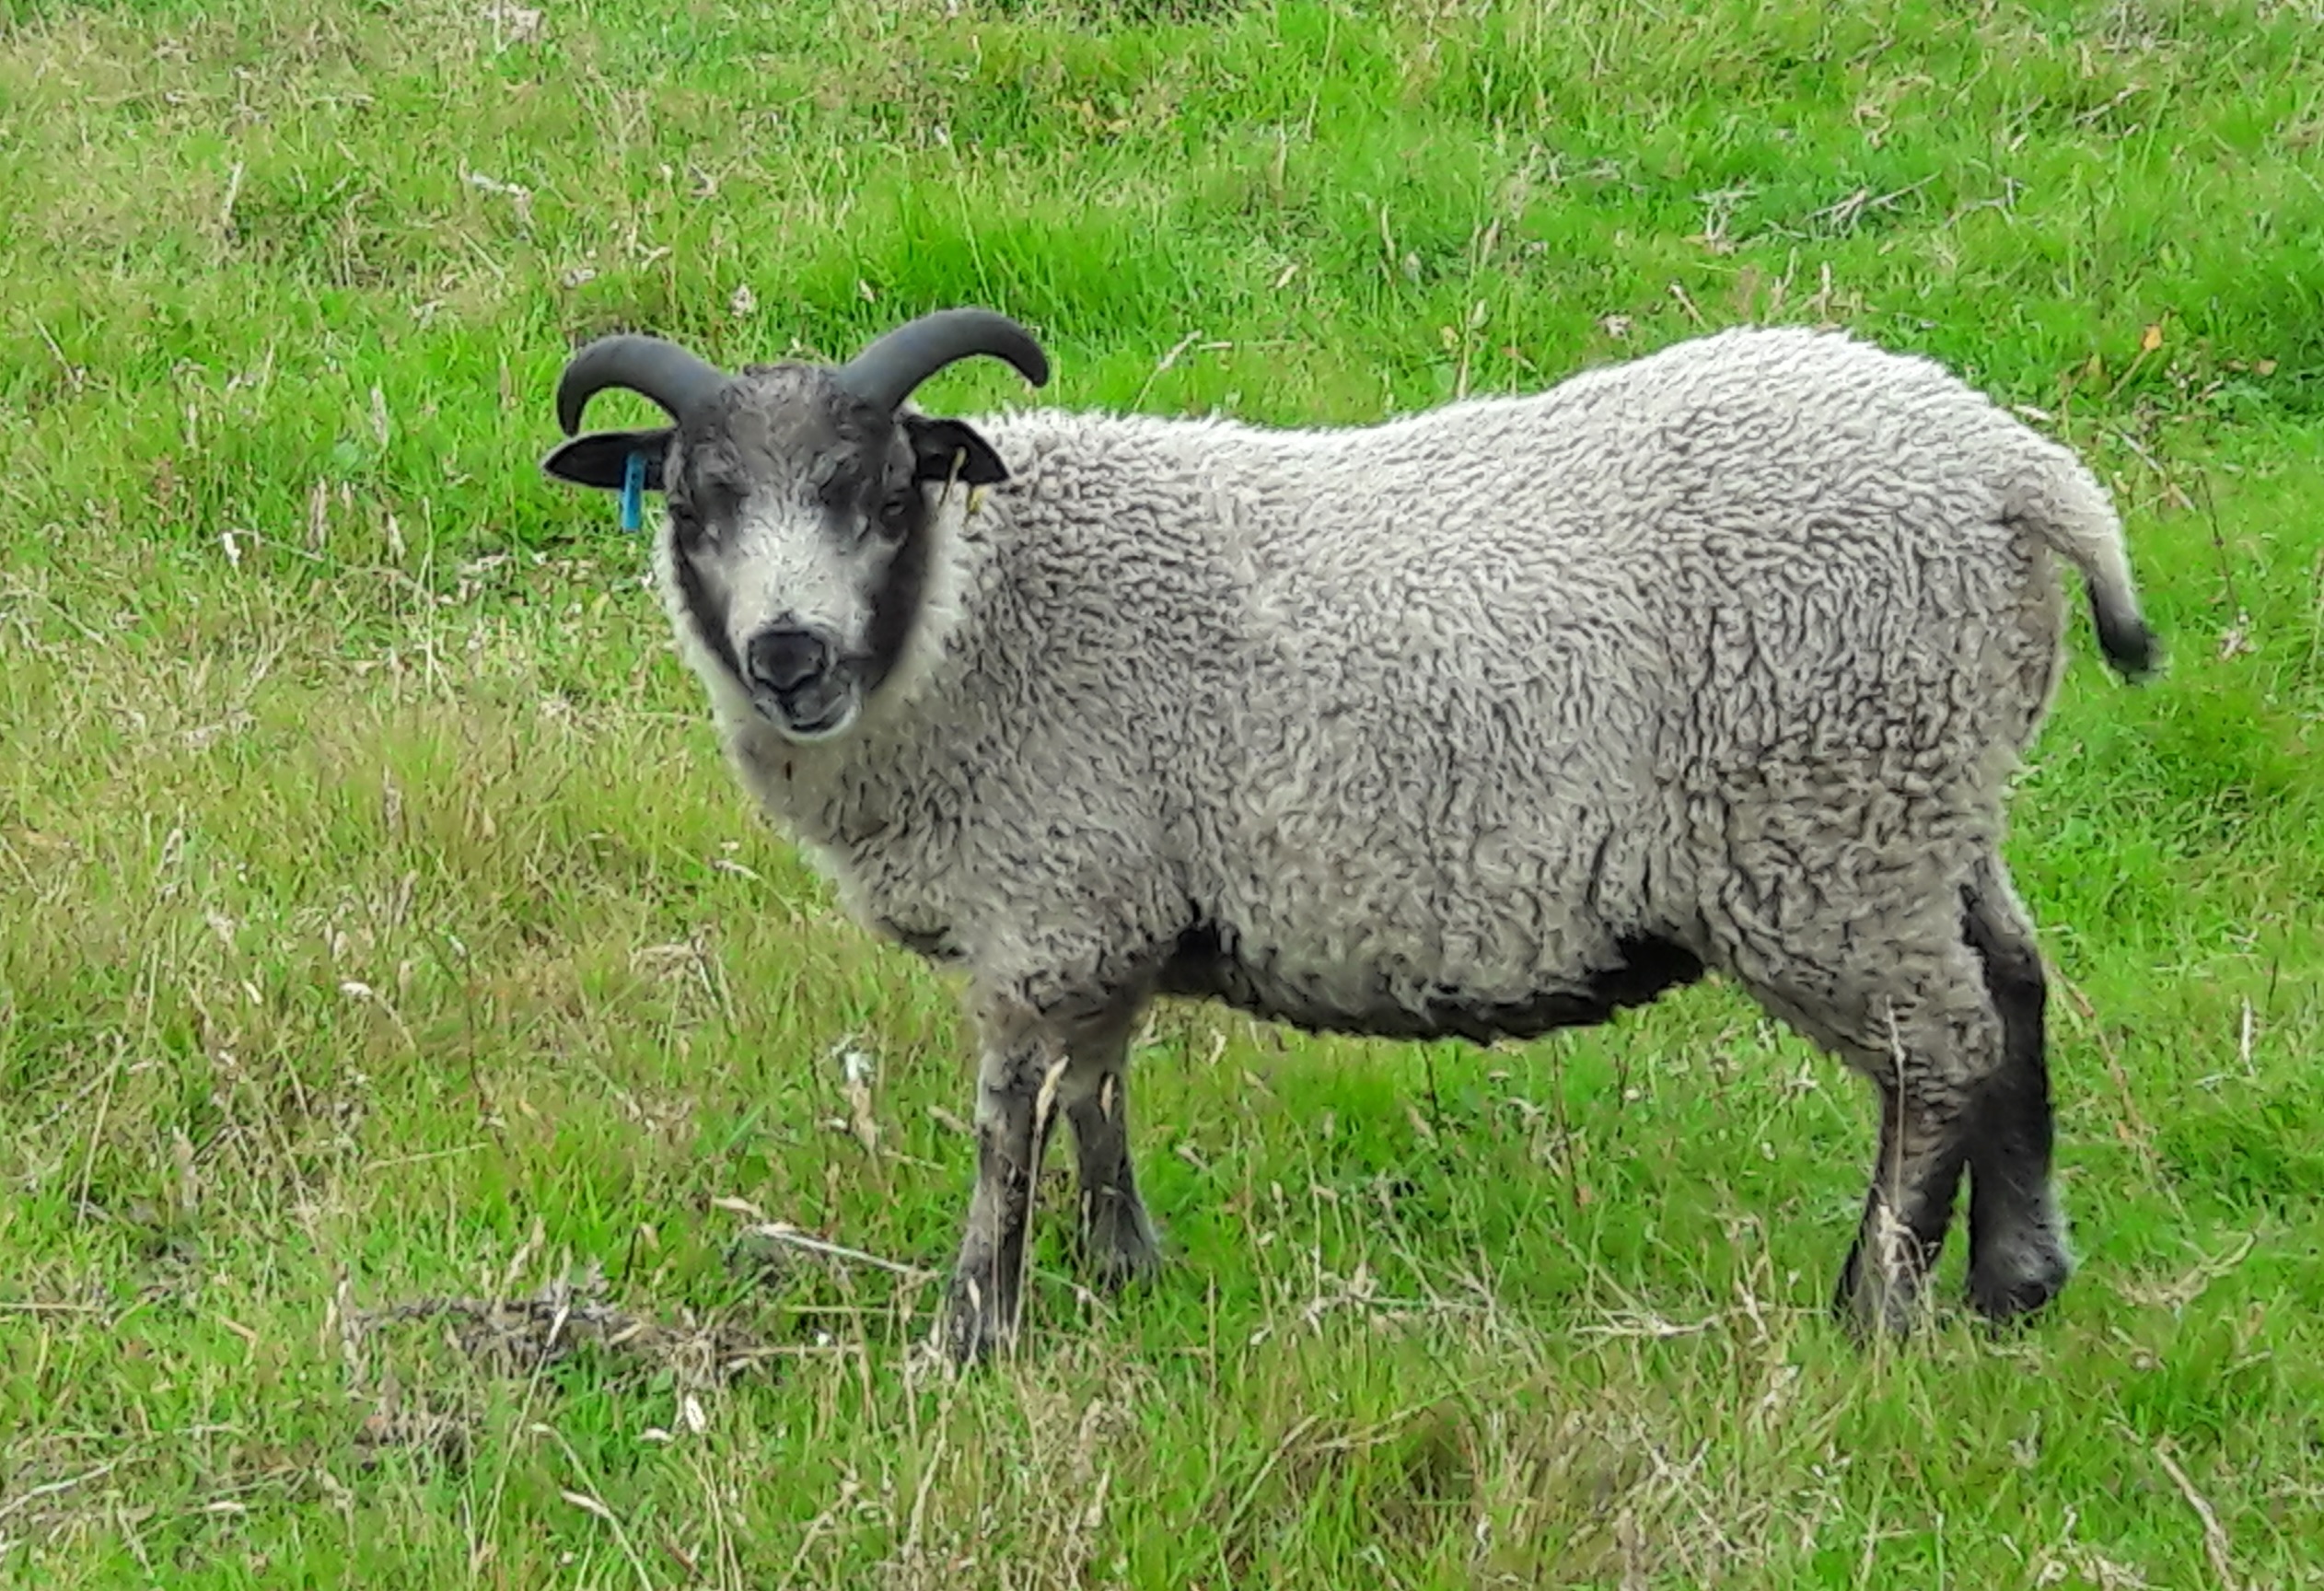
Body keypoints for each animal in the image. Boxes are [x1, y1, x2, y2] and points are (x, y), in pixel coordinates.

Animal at [539, 311, 2156, 1365]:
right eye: (693, 504)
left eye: (884, 494)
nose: (789, 655)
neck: (983, 618)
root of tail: (2021, 476)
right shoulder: (1105, 913)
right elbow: (1098, 1092)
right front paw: (1125, 1272)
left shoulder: (1046, 903)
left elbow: (1011, 1124)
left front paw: (969, 1339)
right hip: (1928, 803)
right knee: (2018, 987)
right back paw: (2016, 1279)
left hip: (1822, 834)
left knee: (1939, 1049)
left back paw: (1872, 1314)